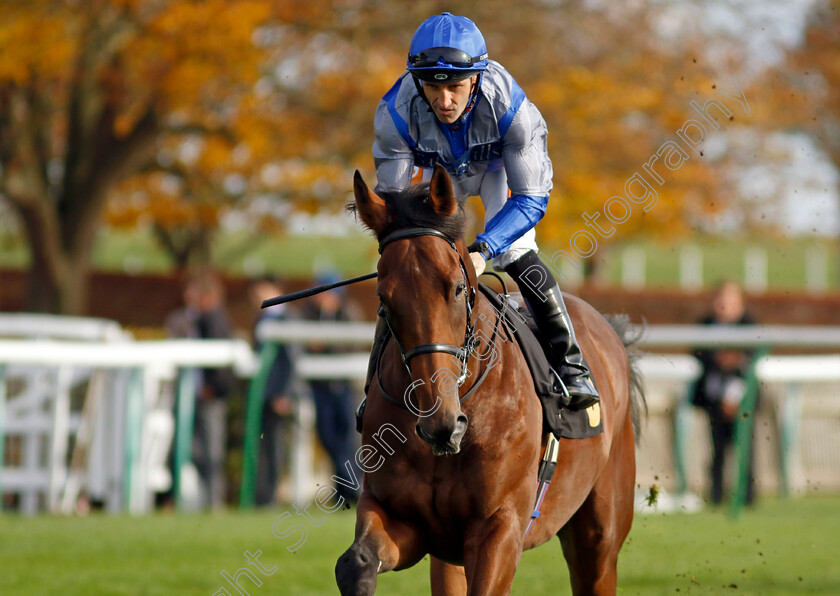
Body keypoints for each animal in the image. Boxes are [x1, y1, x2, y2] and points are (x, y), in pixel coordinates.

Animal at [338, 164, 648, 596]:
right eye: (384, 300)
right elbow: (355, 563)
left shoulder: (499, 527)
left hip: (599, 537)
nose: (440, 425)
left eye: (456, 287)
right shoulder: (398, 516)